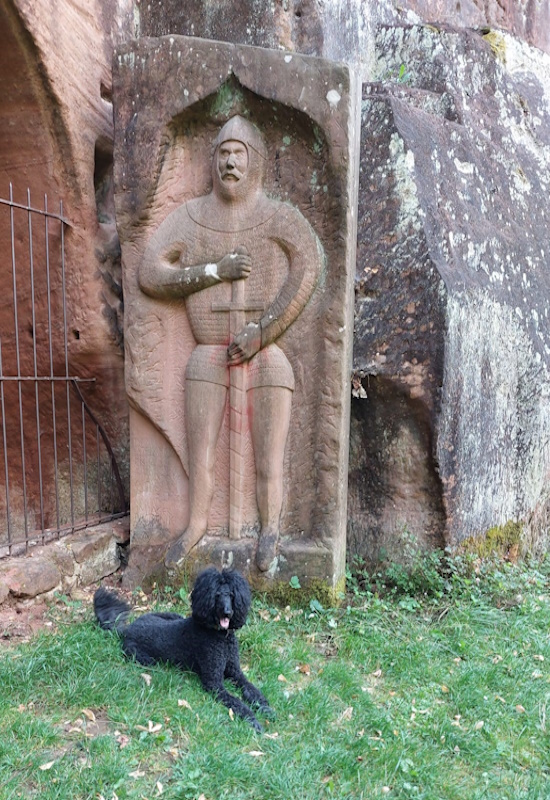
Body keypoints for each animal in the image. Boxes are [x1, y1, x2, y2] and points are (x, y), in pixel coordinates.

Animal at [96, 564, 274, 728]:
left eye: (231, 595)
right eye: (216, 595)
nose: (228, 612)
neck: (219, 636)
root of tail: (127, 629)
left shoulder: (236, 672)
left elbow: (251, 689)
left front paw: (265, 707)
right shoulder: (214, 683)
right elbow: (236, 702)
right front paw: (252, 719)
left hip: (172, 616)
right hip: (143, 657)